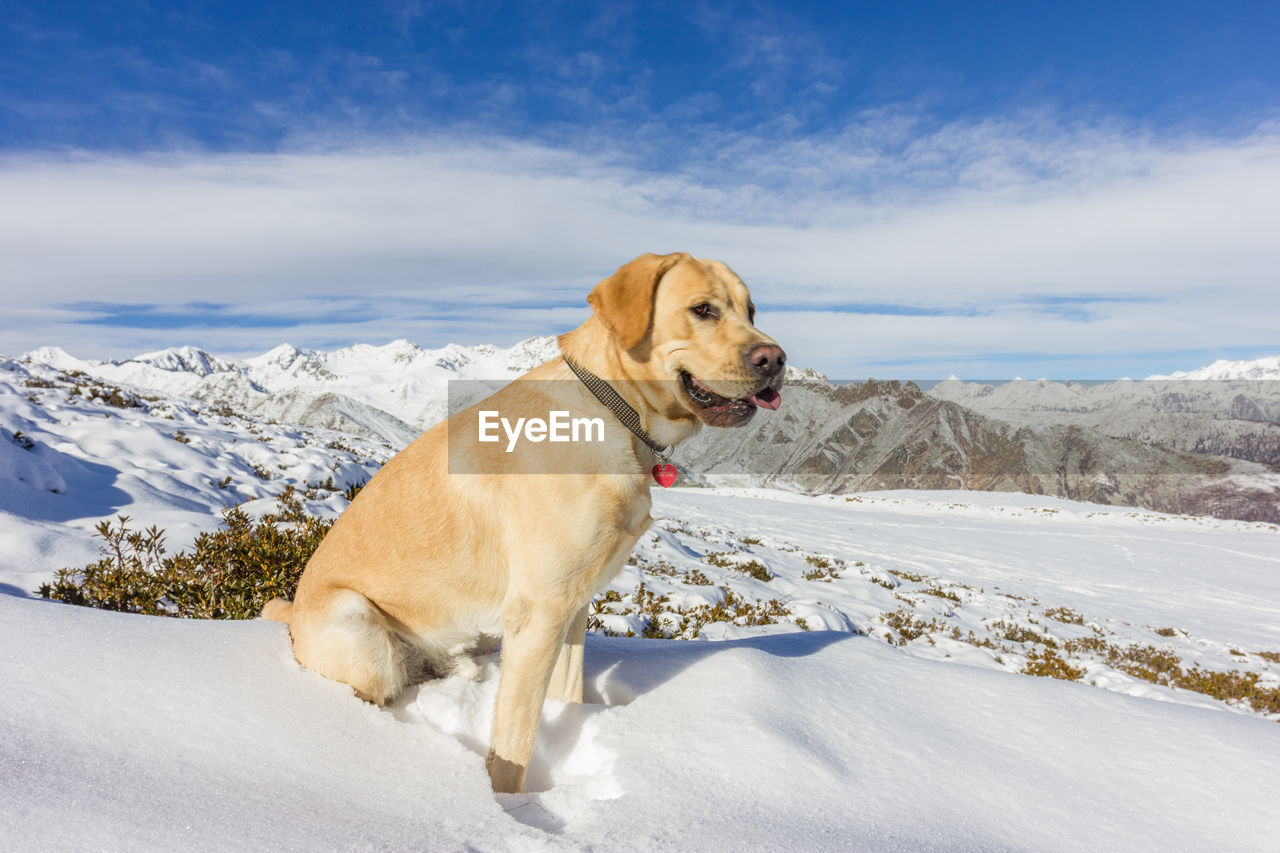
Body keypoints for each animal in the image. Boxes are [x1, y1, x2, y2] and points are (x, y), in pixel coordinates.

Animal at [261, 251, 783, 788]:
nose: (775, 359)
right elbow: (514, 743)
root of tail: (291, 618)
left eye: (752, 310)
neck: (613, 412)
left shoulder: (573, 603)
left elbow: (567, 693)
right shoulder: (538, 612)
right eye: (703, 309)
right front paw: (507, 802)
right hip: (359, 625)